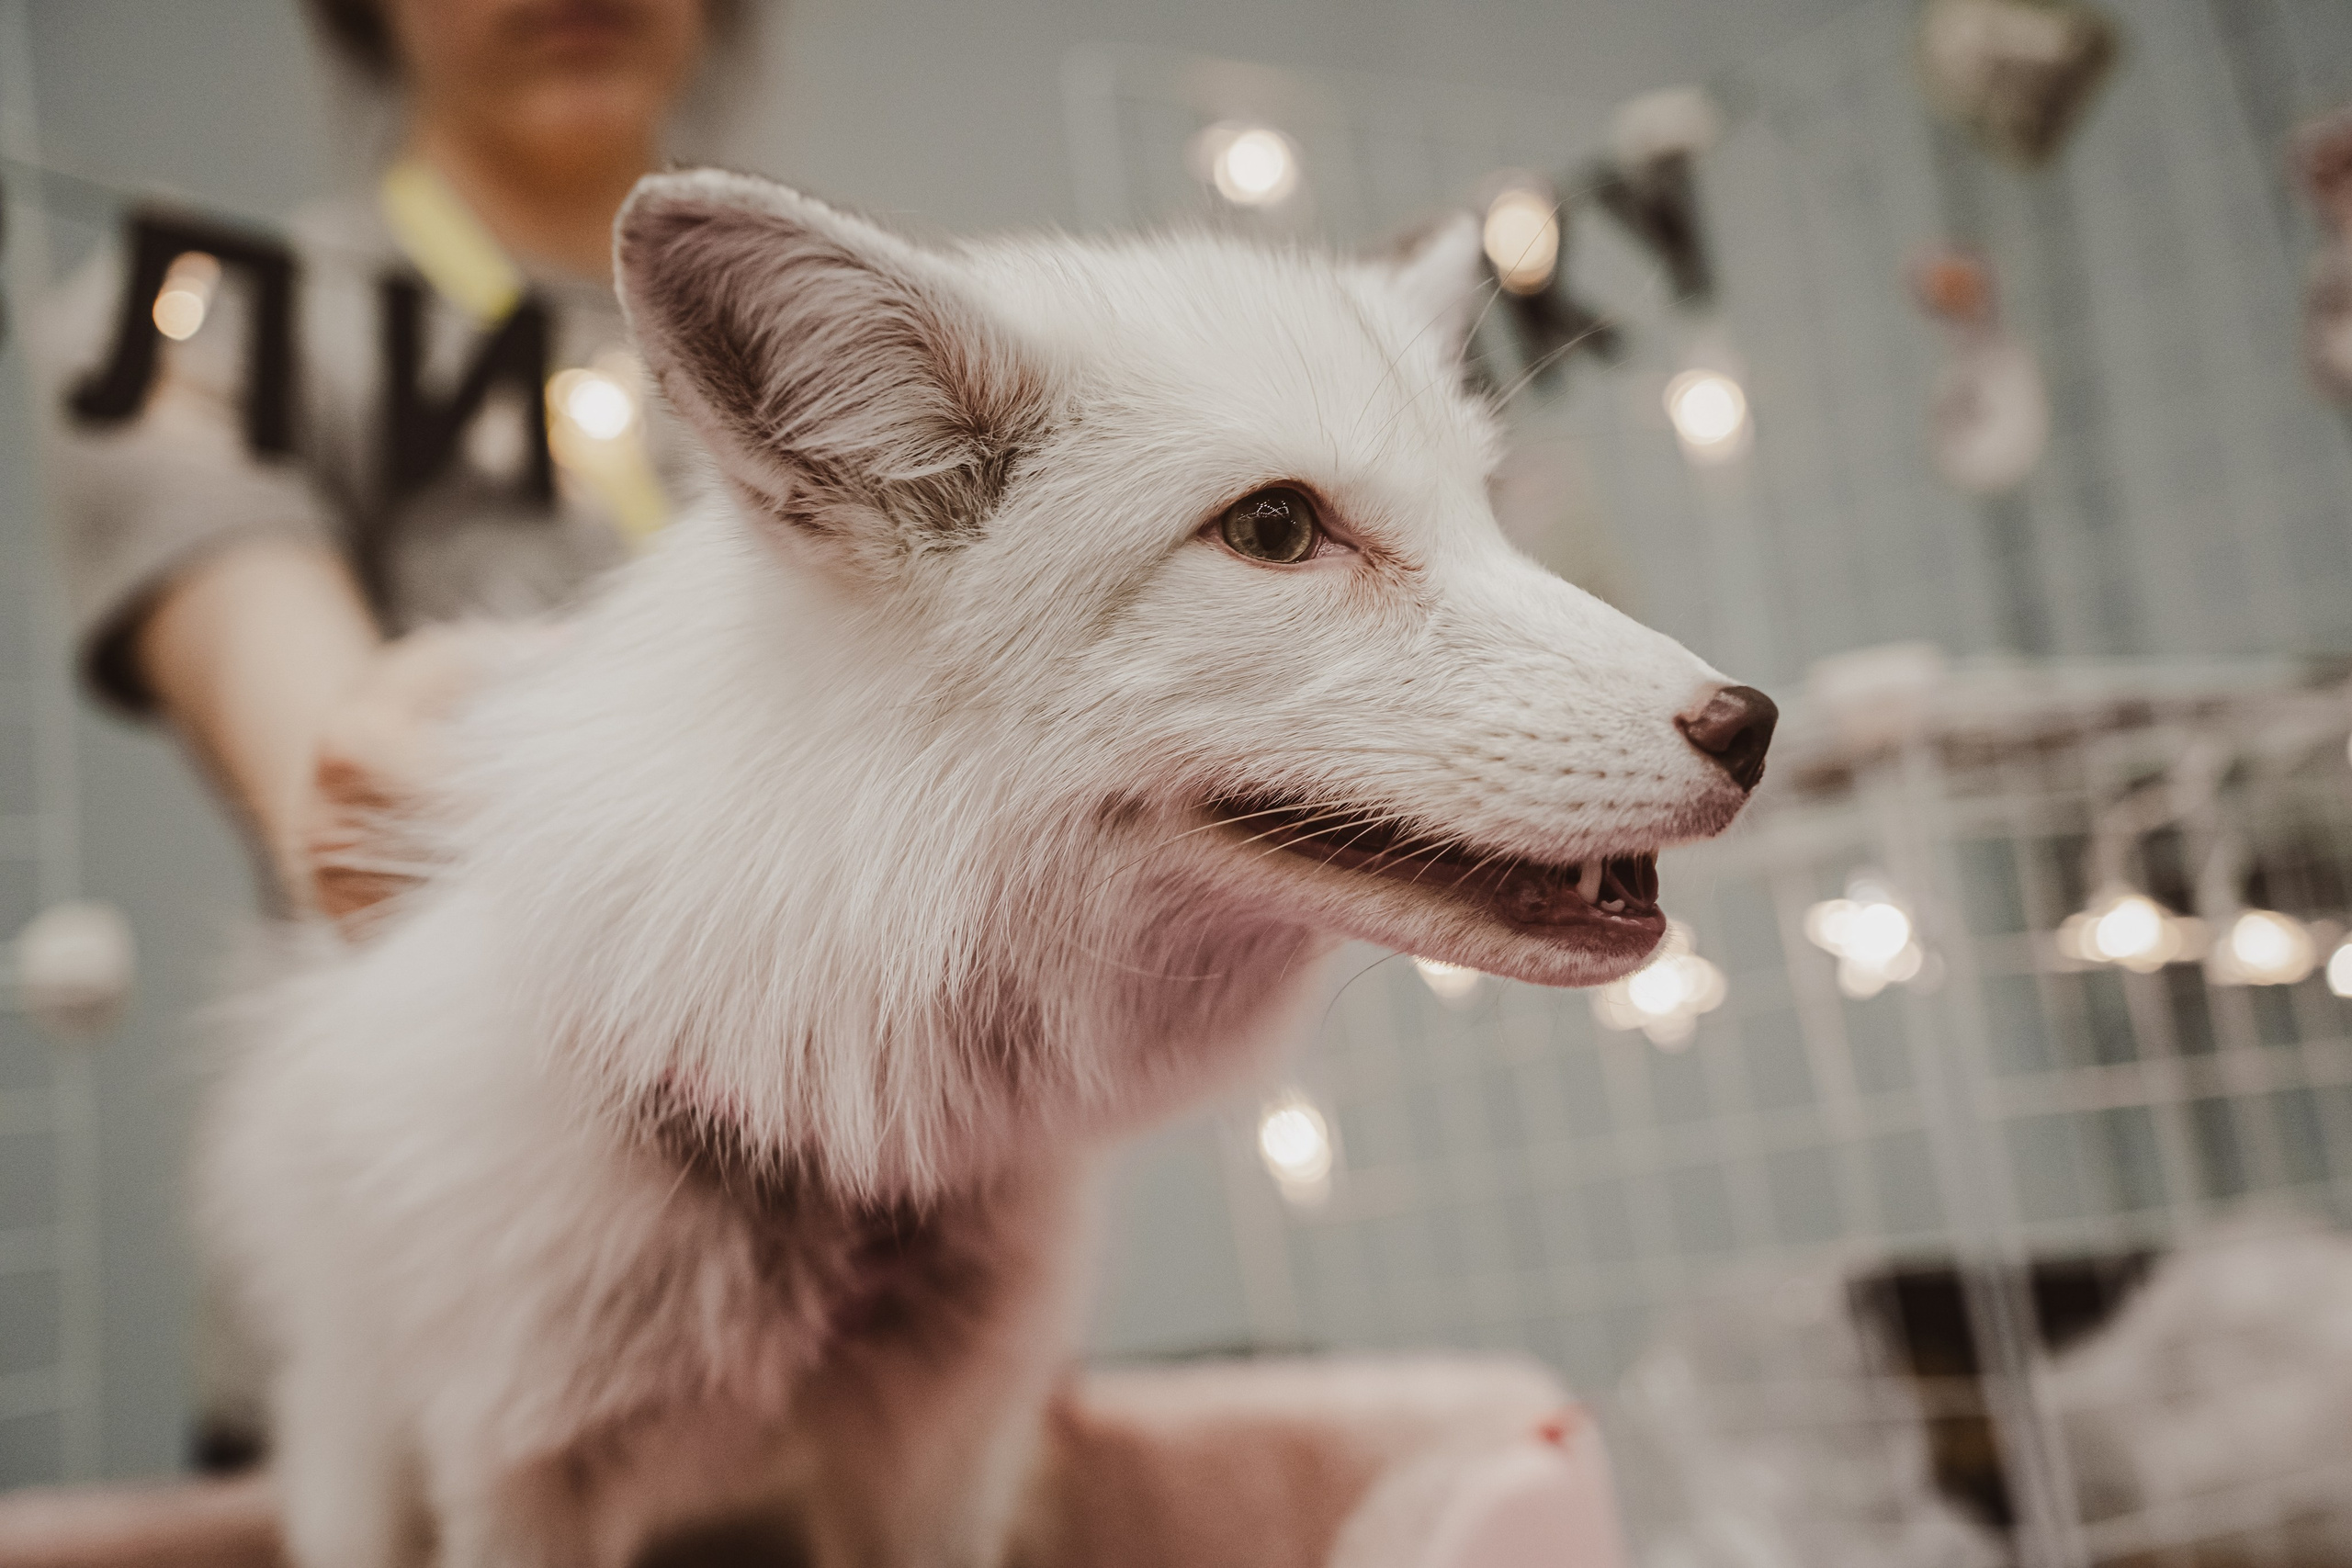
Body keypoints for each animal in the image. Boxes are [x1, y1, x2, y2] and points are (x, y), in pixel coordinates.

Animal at [203, 167, 1776, 1568]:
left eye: (1490, 513)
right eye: (1275, 527)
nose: (1752, 724)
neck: (829, 1119)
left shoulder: (943, 1446)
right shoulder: (519, 1457)